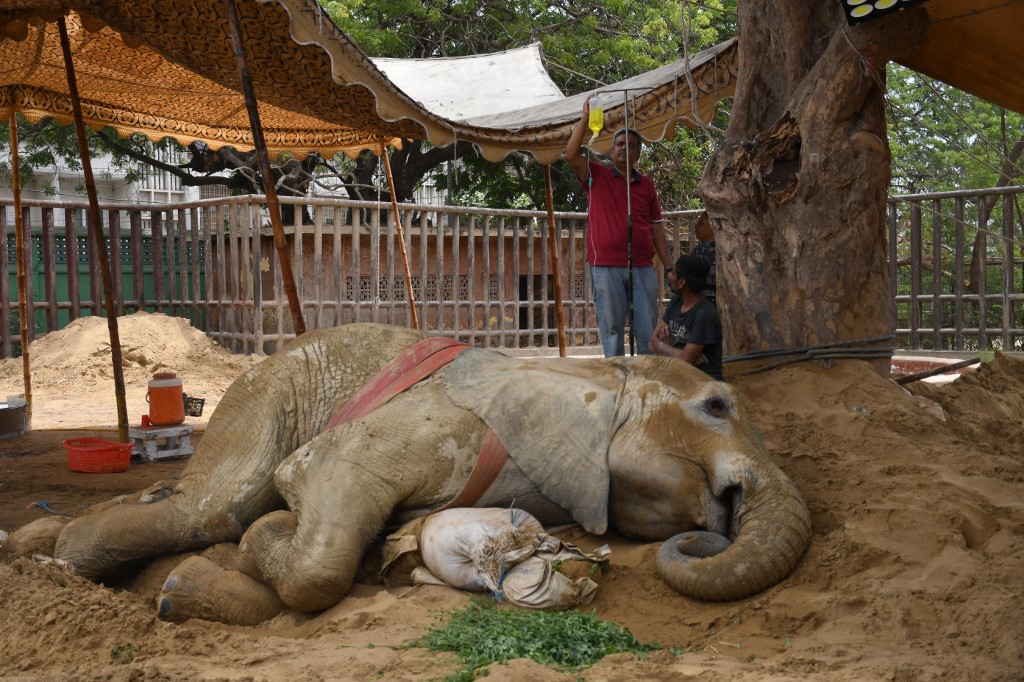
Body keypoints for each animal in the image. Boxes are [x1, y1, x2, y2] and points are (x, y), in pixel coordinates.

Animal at [51, 321, 811, 622]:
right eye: (717, 405)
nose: (714, 525)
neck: (597, 370)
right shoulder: (449, 423)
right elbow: (322, 499)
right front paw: (272, 530)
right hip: (269, 387)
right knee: (211, 507)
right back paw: (60, 559)